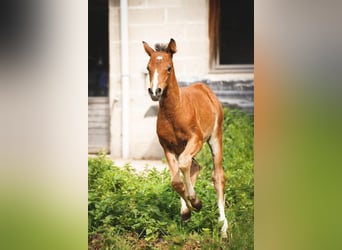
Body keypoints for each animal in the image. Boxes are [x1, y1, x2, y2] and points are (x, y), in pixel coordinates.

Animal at [143, 38, 228, 237]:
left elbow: (183, 166)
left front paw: (195, 202)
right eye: (148, 68)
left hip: (215, 137)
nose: (155, 92)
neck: (174, 112)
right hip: (182, 147)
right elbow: (176, 181)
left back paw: (223, 227)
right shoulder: (167, 146)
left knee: (217, 175)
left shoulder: (195, 139)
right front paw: (189, 208)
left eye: (169, 68)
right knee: (194, 166)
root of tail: (205, 88)